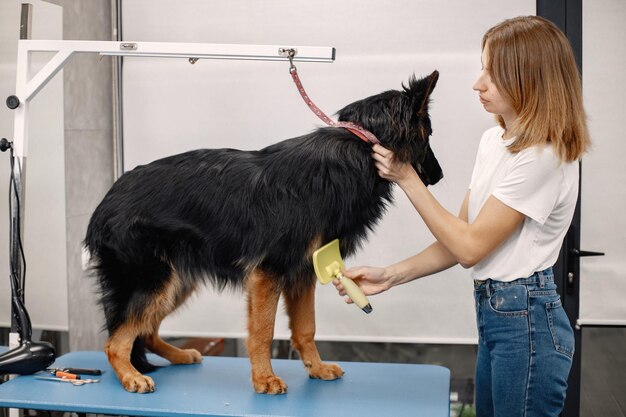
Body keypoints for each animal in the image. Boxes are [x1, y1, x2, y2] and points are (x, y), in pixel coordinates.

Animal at [85, 69, 442, 394]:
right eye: (427, 136)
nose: (439, 177)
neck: (359, 147)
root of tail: (106, 201)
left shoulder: (303, 272)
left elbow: (306, 327)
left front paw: (316, 368)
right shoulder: (268, 272)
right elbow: (263, 331)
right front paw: (264, 379)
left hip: (176, 282)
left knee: (144, 331)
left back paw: (179, 356)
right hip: (154, 281)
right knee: (116, 341)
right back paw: (131, 376)